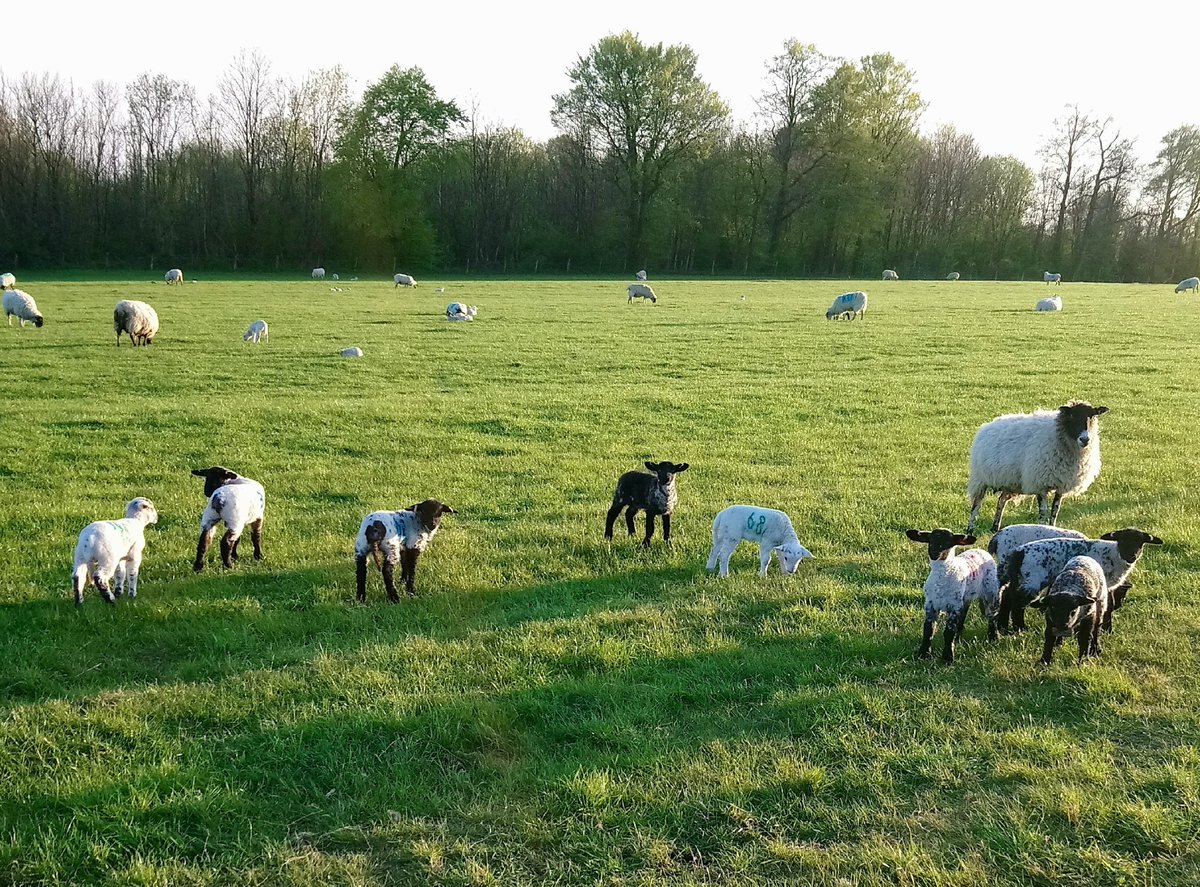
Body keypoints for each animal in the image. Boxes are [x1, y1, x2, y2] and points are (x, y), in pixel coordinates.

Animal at [906, 528, 1000, 663]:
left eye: (948, 542)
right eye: (930, 540)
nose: (934, 553)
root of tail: (982, 551)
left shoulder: (953, 606)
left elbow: (949, 631)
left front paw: (948, 657)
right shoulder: (930, 604)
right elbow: (928, 630)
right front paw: (923, 654)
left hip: (991, 590)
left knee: (992, 614)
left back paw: (994, 636)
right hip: (965, 597)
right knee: (964, 614)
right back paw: (958, 637)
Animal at [966, 401, 1108, 533]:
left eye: (1092, 416)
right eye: (1072, 415)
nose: (1085, 439)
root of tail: (987, 426)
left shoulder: (1061, 484)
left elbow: (1055, 510)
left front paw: (1053, 528)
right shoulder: (1040, 483)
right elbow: (1043, 511)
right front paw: (1043, 527)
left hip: (1010, 483)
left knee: (1001, 500)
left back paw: (995, 527)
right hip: (980, 480)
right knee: (976, 505)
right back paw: (970, 530)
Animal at [997, 527, 1162, 634]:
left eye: (1141, 542)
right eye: (1121, 540)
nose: (1132, 556)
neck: (1115, 555)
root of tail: (1020, 552)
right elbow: (1108, 606)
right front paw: (1106, 629)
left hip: (1020, 577)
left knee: (1008, 597)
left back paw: (1004, 627)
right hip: (1033, 578)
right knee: (1018, 603)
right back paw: (1020, 628)